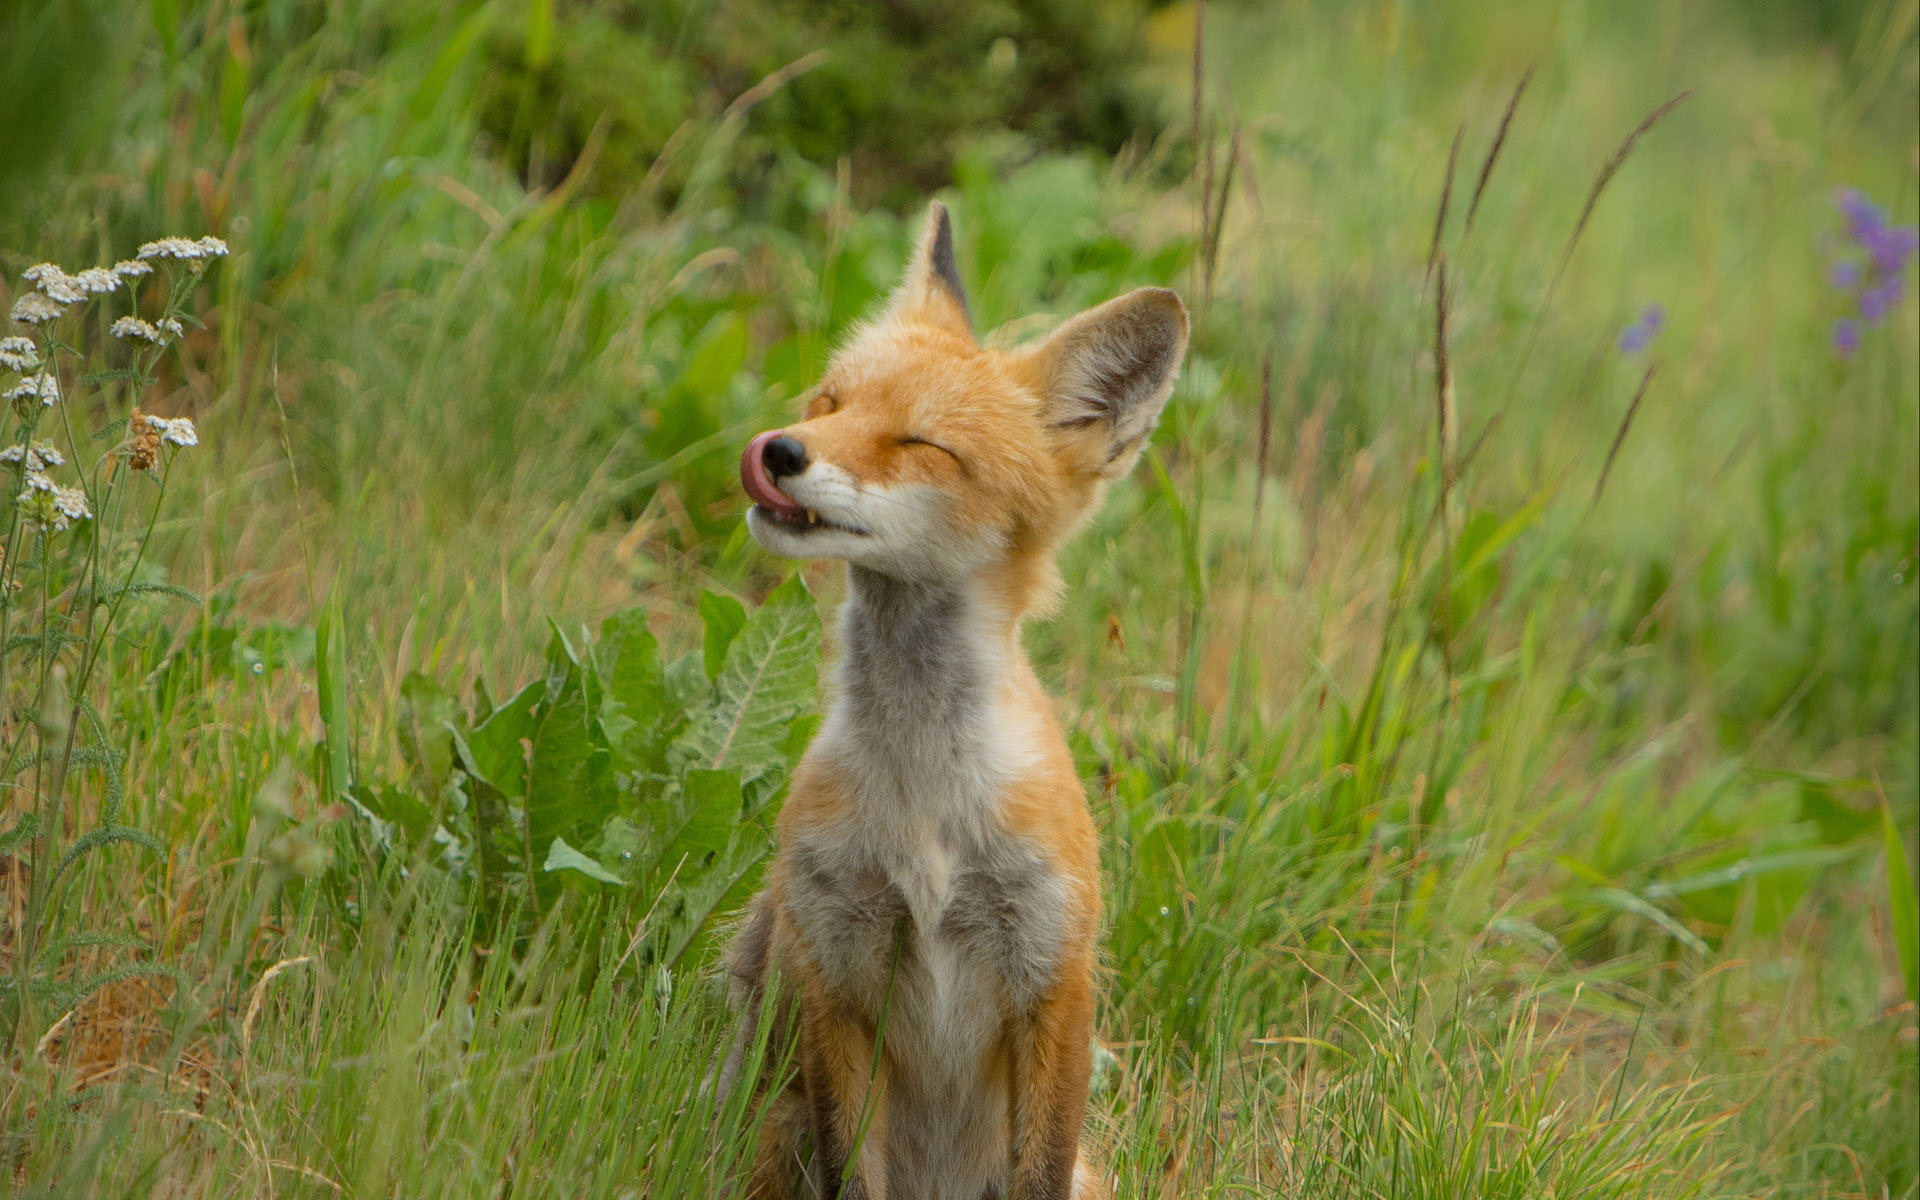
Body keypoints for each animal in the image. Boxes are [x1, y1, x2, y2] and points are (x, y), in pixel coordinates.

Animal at [721, 203, 1182, 1198]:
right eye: (830, 404)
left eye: (922, 445)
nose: (779, 450)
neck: (924, 801)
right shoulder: (835, 973)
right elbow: (853, 1172)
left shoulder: (1053, 978)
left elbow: (1040, 1167)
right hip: (776, 1129)